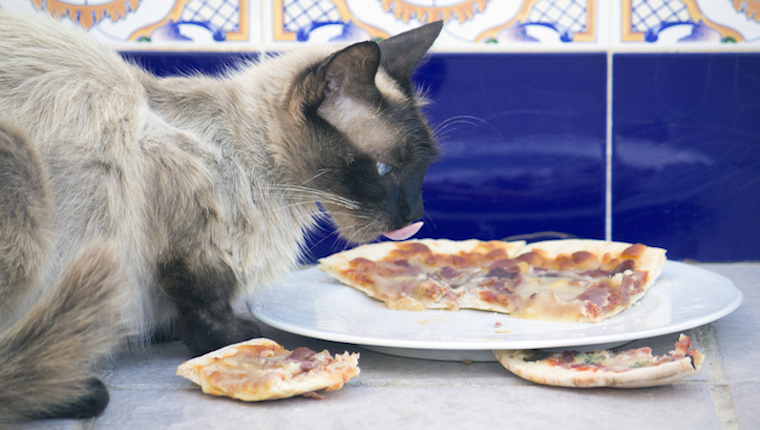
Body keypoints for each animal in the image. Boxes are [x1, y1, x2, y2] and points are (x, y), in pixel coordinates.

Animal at [0, 11, 442, 424]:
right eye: (385, 170)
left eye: (423, 170)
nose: (417, 215)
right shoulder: (175, 193)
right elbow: (205, 293)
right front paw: (225, 338)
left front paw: (158, 329)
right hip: (22, 163)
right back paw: (70, 389)